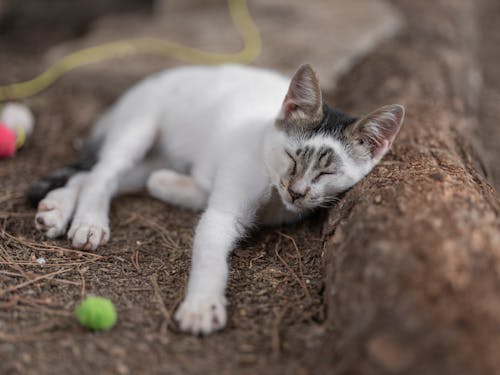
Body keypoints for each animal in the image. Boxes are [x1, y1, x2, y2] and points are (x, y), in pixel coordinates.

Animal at [27, 64, 404, 334]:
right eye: (292, 157)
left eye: (326, 174)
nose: (296, 191)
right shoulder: (224, 209)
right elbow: (210, 255)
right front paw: (202, 306)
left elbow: (175, 185)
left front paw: (171, 185)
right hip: (138, 127)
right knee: (103, 173)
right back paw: (89, 221)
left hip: (153, 157)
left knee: (96, 174)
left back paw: (57, 207)